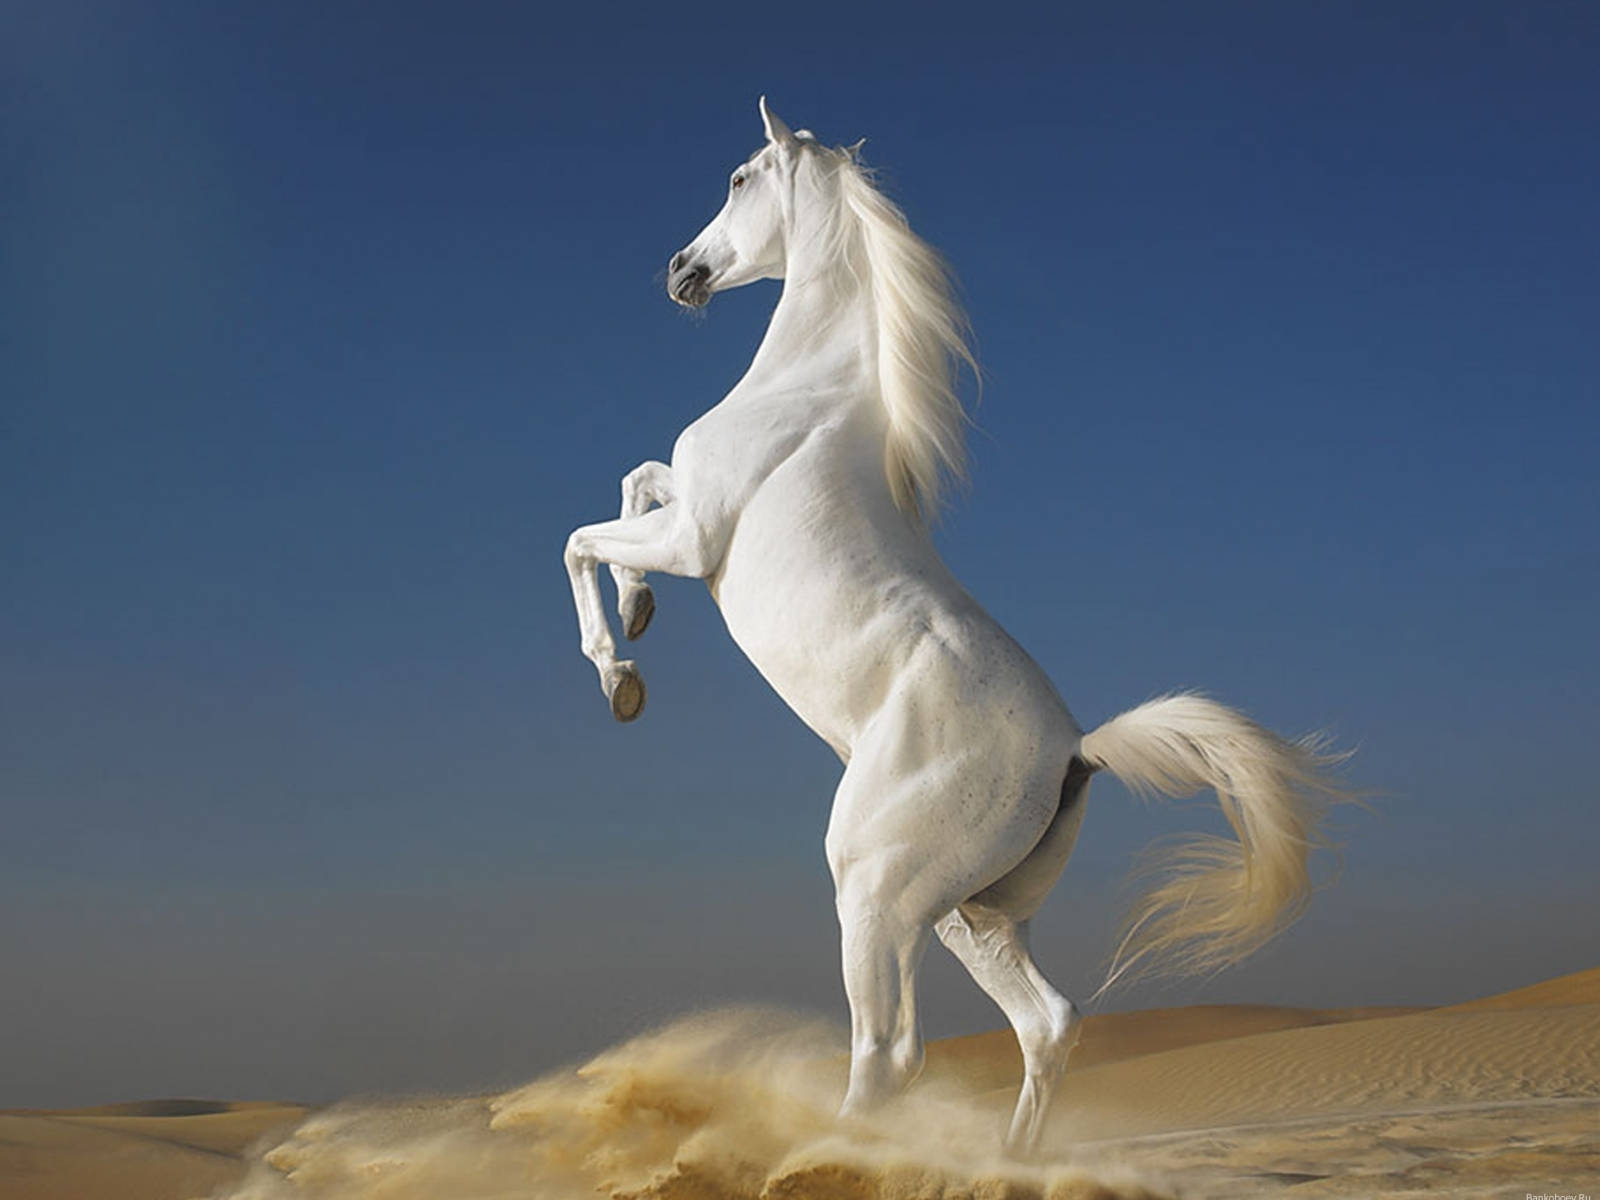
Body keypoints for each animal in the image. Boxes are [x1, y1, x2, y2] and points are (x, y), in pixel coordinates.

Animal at [562, 98, 1348, 1154]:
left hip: (873, 890)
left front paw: (621, 674)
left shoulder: (696, 538)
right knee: (1046, 1024)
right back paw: (1008, 1161)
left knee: (892, 1053)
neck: (806, 392)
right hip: (965, 914)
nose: (683, 270)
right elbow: (636, 479)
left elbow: (584, 536)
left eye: (737, 177)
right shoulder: (681, 511)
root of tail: (1076, 751)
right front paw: (640, 613)